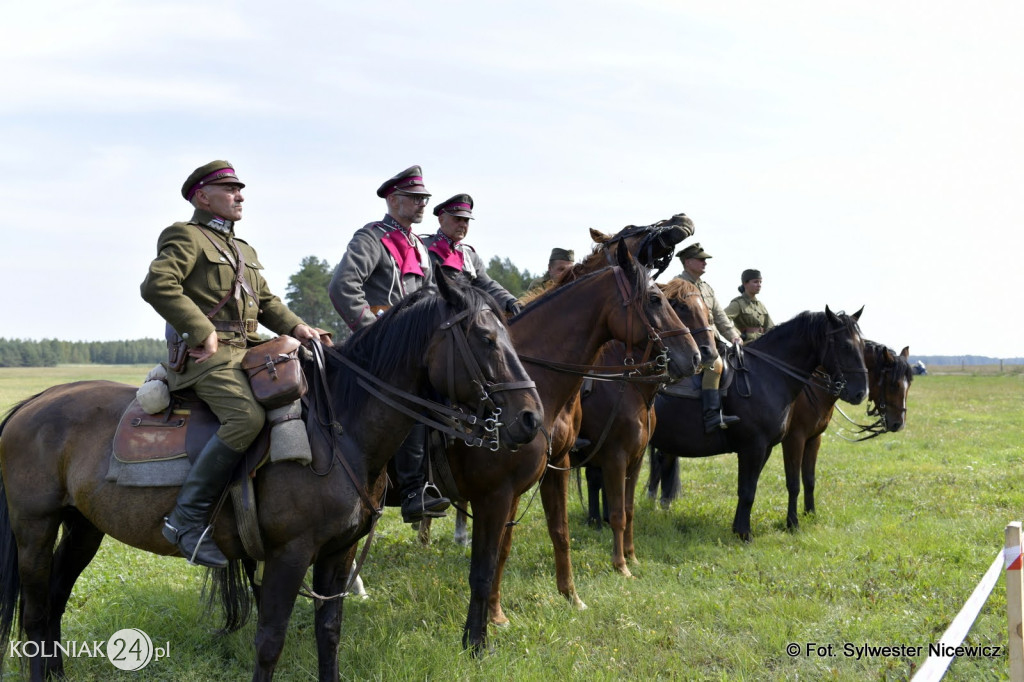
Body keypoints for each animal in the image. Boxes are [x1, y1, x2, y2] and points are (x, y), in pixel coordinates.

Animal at [0, 272, 544, 679]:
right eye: (487, 338)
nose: (530, 419)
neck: (338, 428)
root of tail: (33, 402)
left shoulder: (337, 553)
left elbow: (329, 633)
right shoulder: (289, 555)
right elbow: (269, 642)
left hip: (83, 527)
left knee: (54, 602)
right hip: (35, 527)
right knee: (35, 612)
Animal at [444, 242, 700, 647]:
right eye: (657, 299)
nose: (696, 356)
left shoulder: (561, 465)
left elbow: (558, 531)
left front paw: (569, 596)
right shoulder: (510, 485)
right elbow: (504, 545)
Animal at [651, 305, 868, 540]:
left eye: (863, 345)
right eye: (846, 346)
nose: (860, 393)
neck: (766, 375)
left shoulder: (773, 447)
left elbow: (748, 488)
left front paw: (738, 529)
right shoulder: (761, 445)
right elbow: (757, 490)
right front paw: (750, 533)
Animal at [782, 339, 913, 524]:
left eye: (909, 385)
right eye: (894, 384)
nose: (898, 424)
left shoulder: (813, 439)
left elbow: (809, 479)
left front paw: (811, 514)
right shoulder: (794, 440)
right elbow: (793, 483)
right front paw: (792, 522)